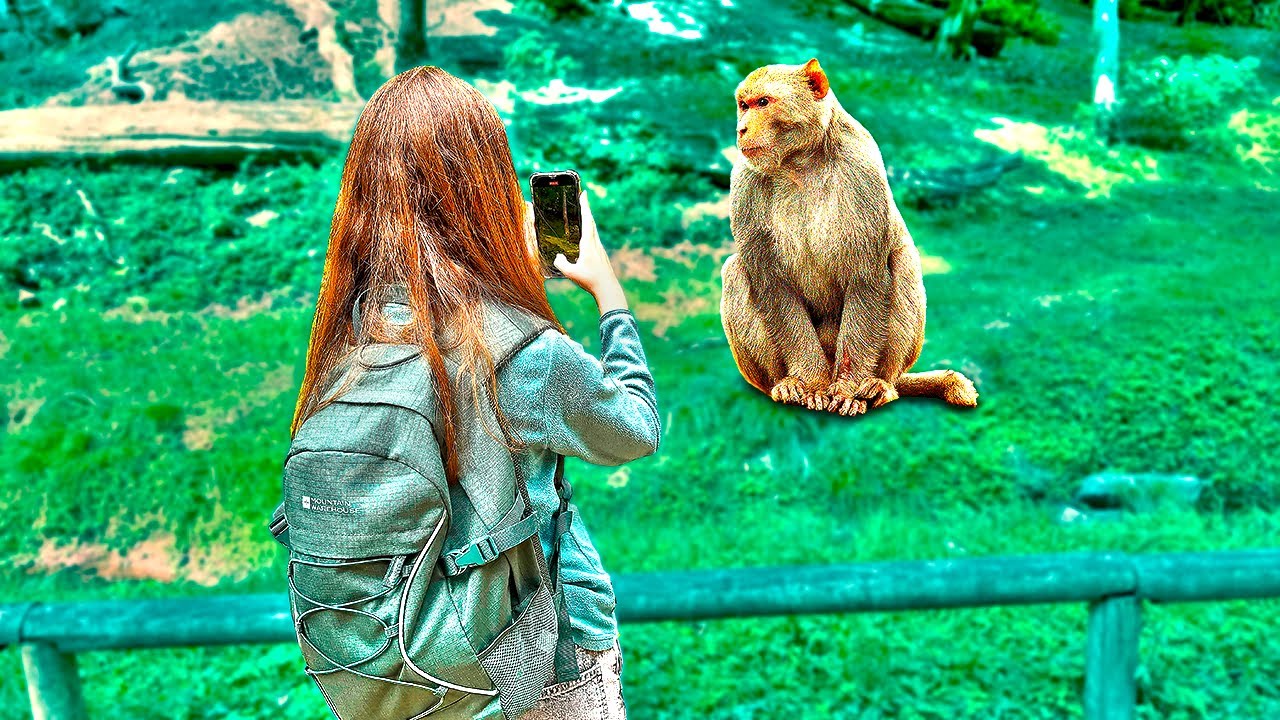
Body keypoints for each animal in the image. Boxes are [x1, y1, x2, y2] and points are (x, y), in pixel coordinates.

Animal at [720, 58, 978, 416]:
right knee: (735, 270)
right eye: (743, 106)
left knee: (903, 263)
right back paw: (785, 384)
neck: (801, 162)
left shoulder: (862, 168)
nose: (741, 129)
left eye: (763, 102)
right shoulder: (744, 180)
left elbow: (866, 277)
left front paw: (847, 390)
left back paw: (880, 386)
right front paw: (811, 385)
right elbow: (772, 286)